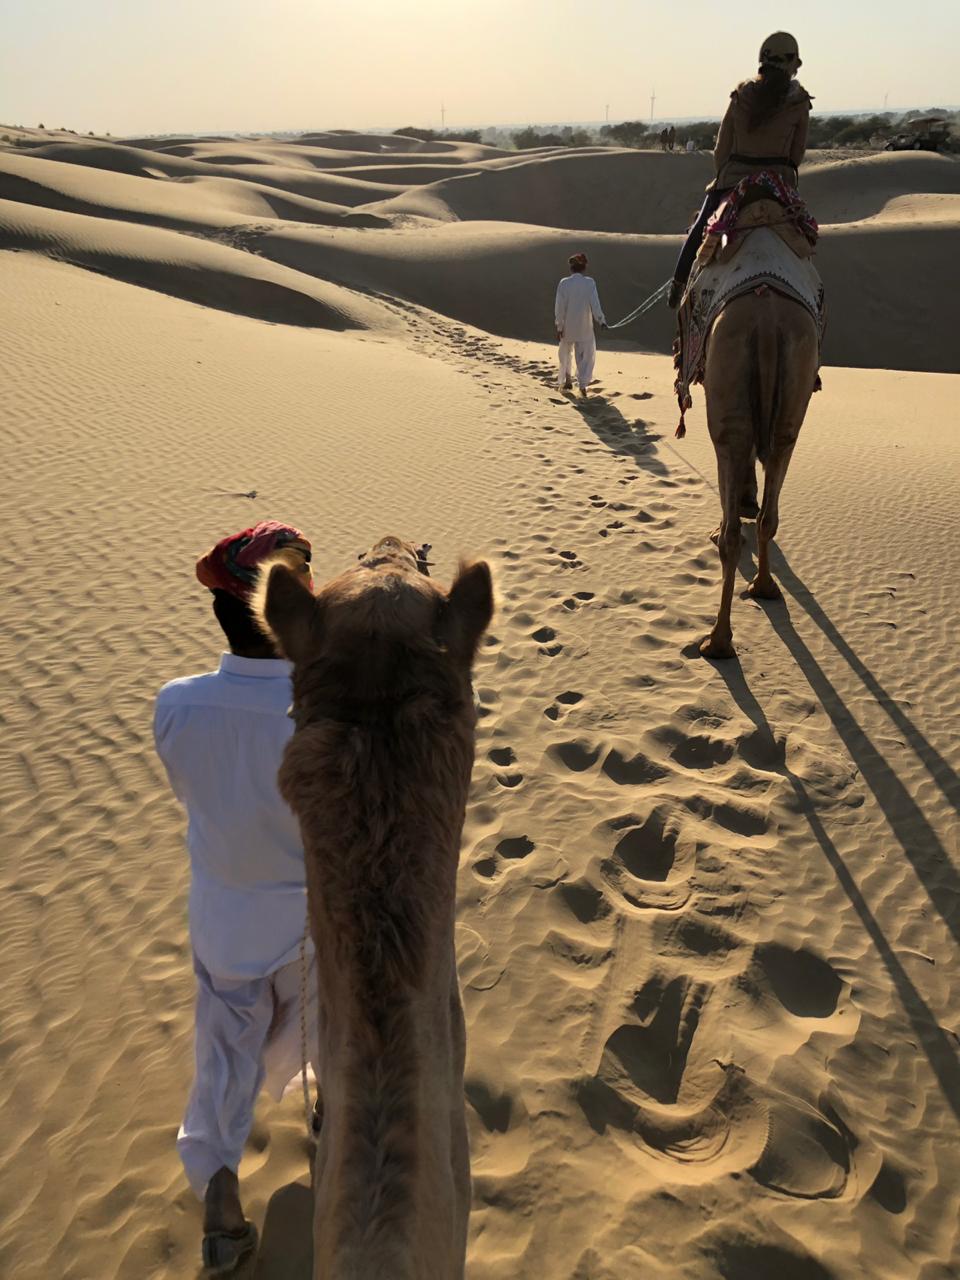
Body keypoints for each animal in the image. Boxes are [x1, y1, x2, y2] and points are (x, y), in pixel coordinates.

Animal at [701, 290, 819, 660]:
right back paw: (765, 587)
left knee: (731, 536)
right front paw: (748, 500)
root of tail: (766, 318)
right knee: (770, 514)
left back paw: (717, 642)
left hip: (728, 402)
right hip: (792, 407)